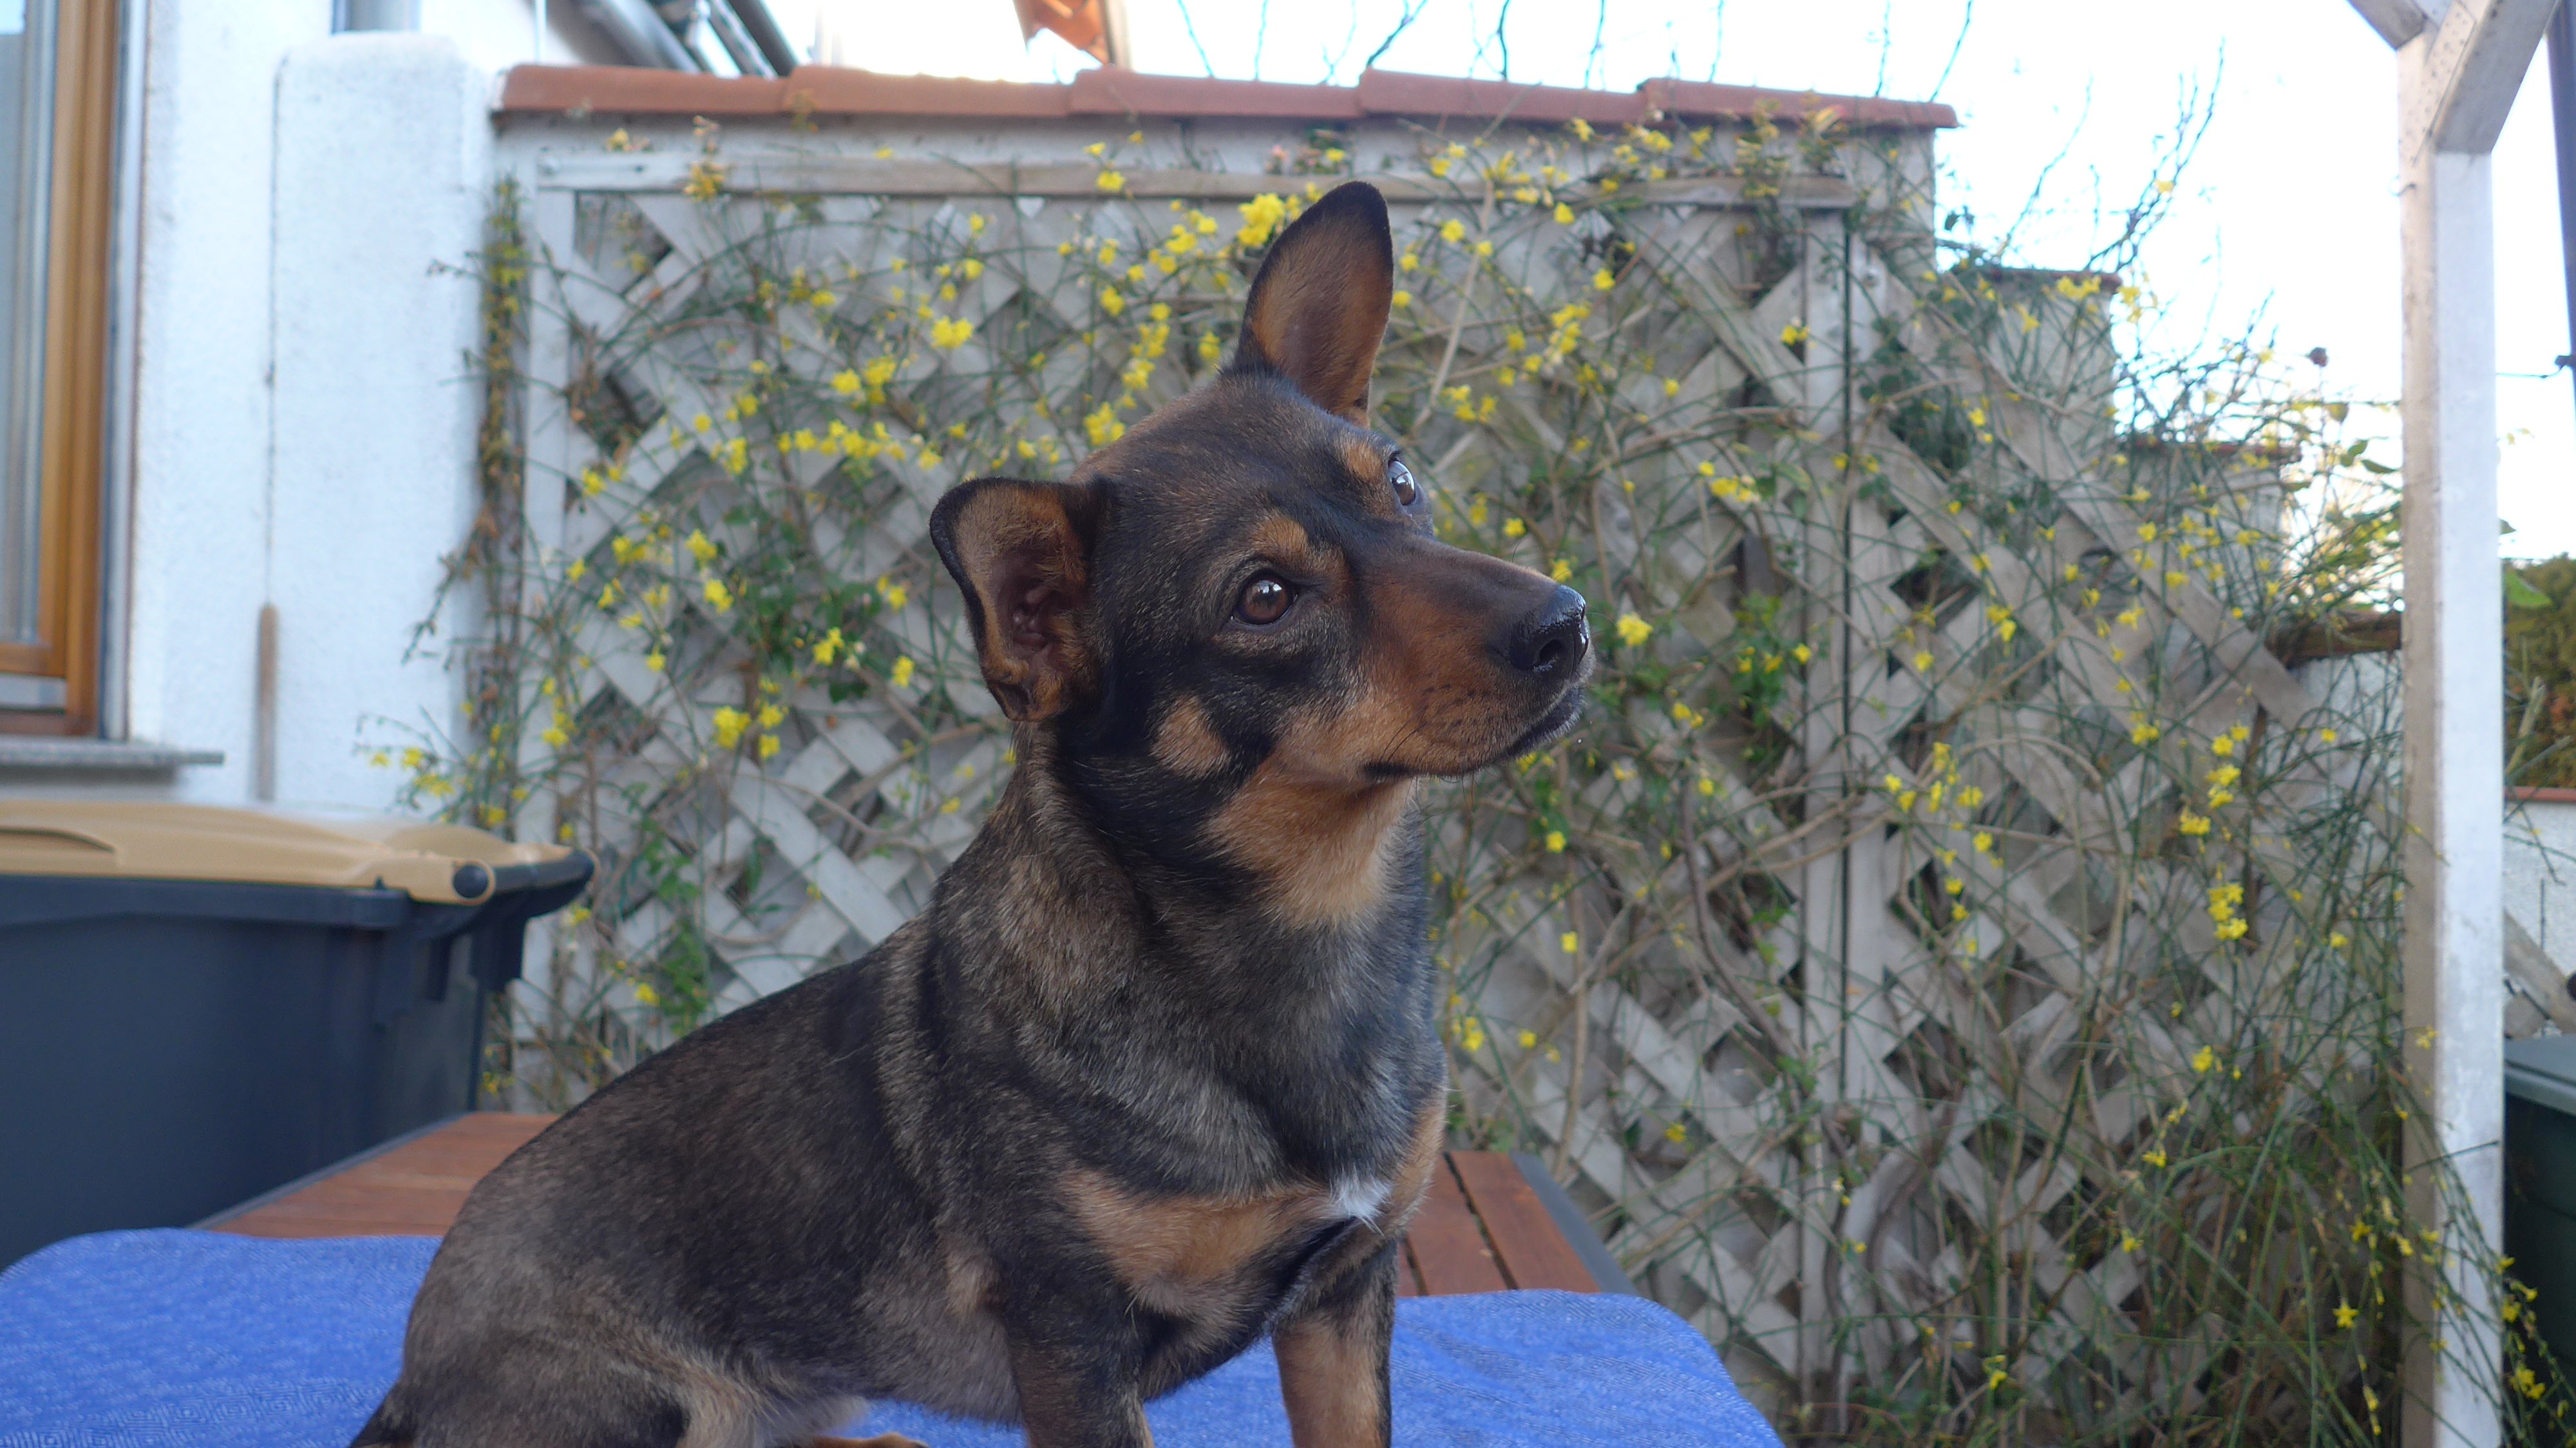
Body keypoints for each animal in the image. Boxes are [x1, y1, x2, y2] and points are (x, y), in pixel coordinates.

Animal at [352, 180, 1590, 1448]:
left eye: (1401, 483)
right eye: (1264, 599)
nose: (1566, 624)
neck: (1297, 933)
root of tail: (412, 1375)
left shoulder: (1345, 1296)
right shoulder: (1074, 1339)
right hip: (636, 1405)